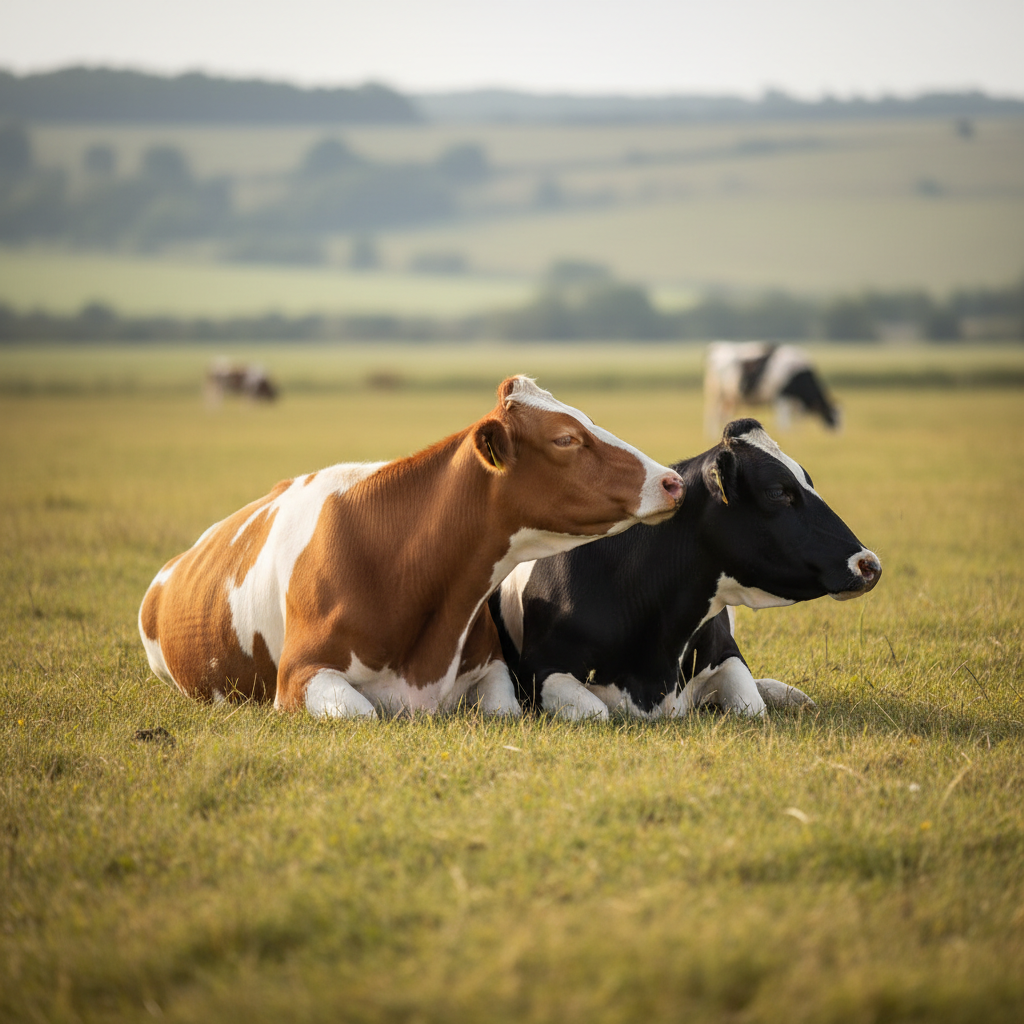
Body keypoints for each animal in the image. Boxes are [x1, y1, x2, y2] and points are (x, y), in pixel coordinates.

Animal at [139, 376, 685, 719]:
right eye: (565, 439)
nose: (672, 481)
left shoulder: (491, 667)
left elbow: (505, 708)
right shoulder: (299, 675)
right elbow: (360, 713)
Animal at [490, 417, 881, 720]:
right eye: (777, 491)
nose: (870, 564)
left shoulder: (727, 651)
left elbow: (752, 706)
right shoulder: (541, 670)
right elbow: (595, 712)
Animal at [704, 342, 839, 435]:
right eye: (831, 415)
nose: (837, 433)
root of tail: (719, 347)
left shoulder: (794, 402)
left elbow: (796, 420)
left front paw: (796, 434)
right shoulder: (781, 396)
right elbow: (783, 420)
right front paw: (785, 434)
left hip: (729, 397)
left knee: (723, 414)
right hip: (716, 393)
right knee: (713, 414)